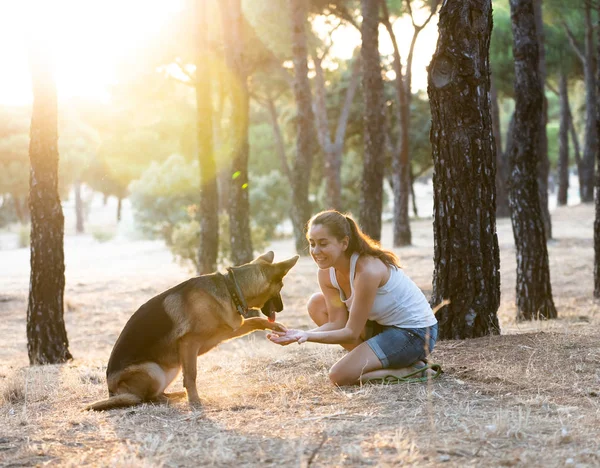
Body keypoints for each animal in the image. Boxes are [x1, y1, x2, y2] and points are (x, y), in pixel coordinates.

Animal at [86, 250, 298, 412]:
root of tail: (112, 391)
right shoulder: (189, 343)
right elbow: (192, 375)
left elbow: (255, 320)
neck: (231, 290)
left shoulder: (230, 330)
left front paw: (276, 327)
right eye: (281, 286)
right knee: (144, 398)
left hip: (172, 368)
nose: (281, 309)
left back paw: (174, 395)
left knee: (156, 394)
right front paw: (195, 401)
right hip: (154, 371)